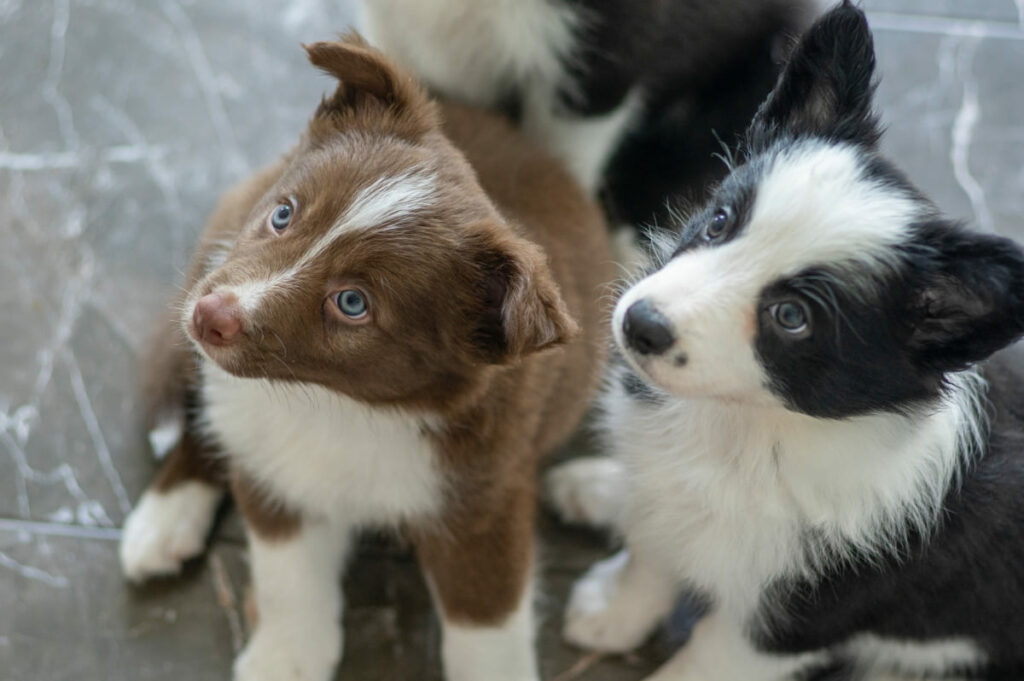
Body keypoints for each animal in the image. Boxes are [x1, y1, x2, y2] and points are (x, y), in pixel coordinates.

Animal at [119, 35, 614, 679]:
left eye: (352, 302)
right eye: (284, 214)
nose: (210, 316)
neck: (341, 406)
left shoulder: (486, 498)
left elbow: (487, 626)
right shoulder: (274, 468)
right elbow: (287, 573)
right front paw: (287, 657)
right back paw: (165, 518)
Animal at [552, 5, 1024, 679]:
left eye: (791, 316)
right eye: (720, 221)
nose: (639, 325)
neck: (750, 428)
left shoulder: (796, 617)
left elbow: (704, 657)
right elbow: (652, 551)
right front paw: (614, 611)